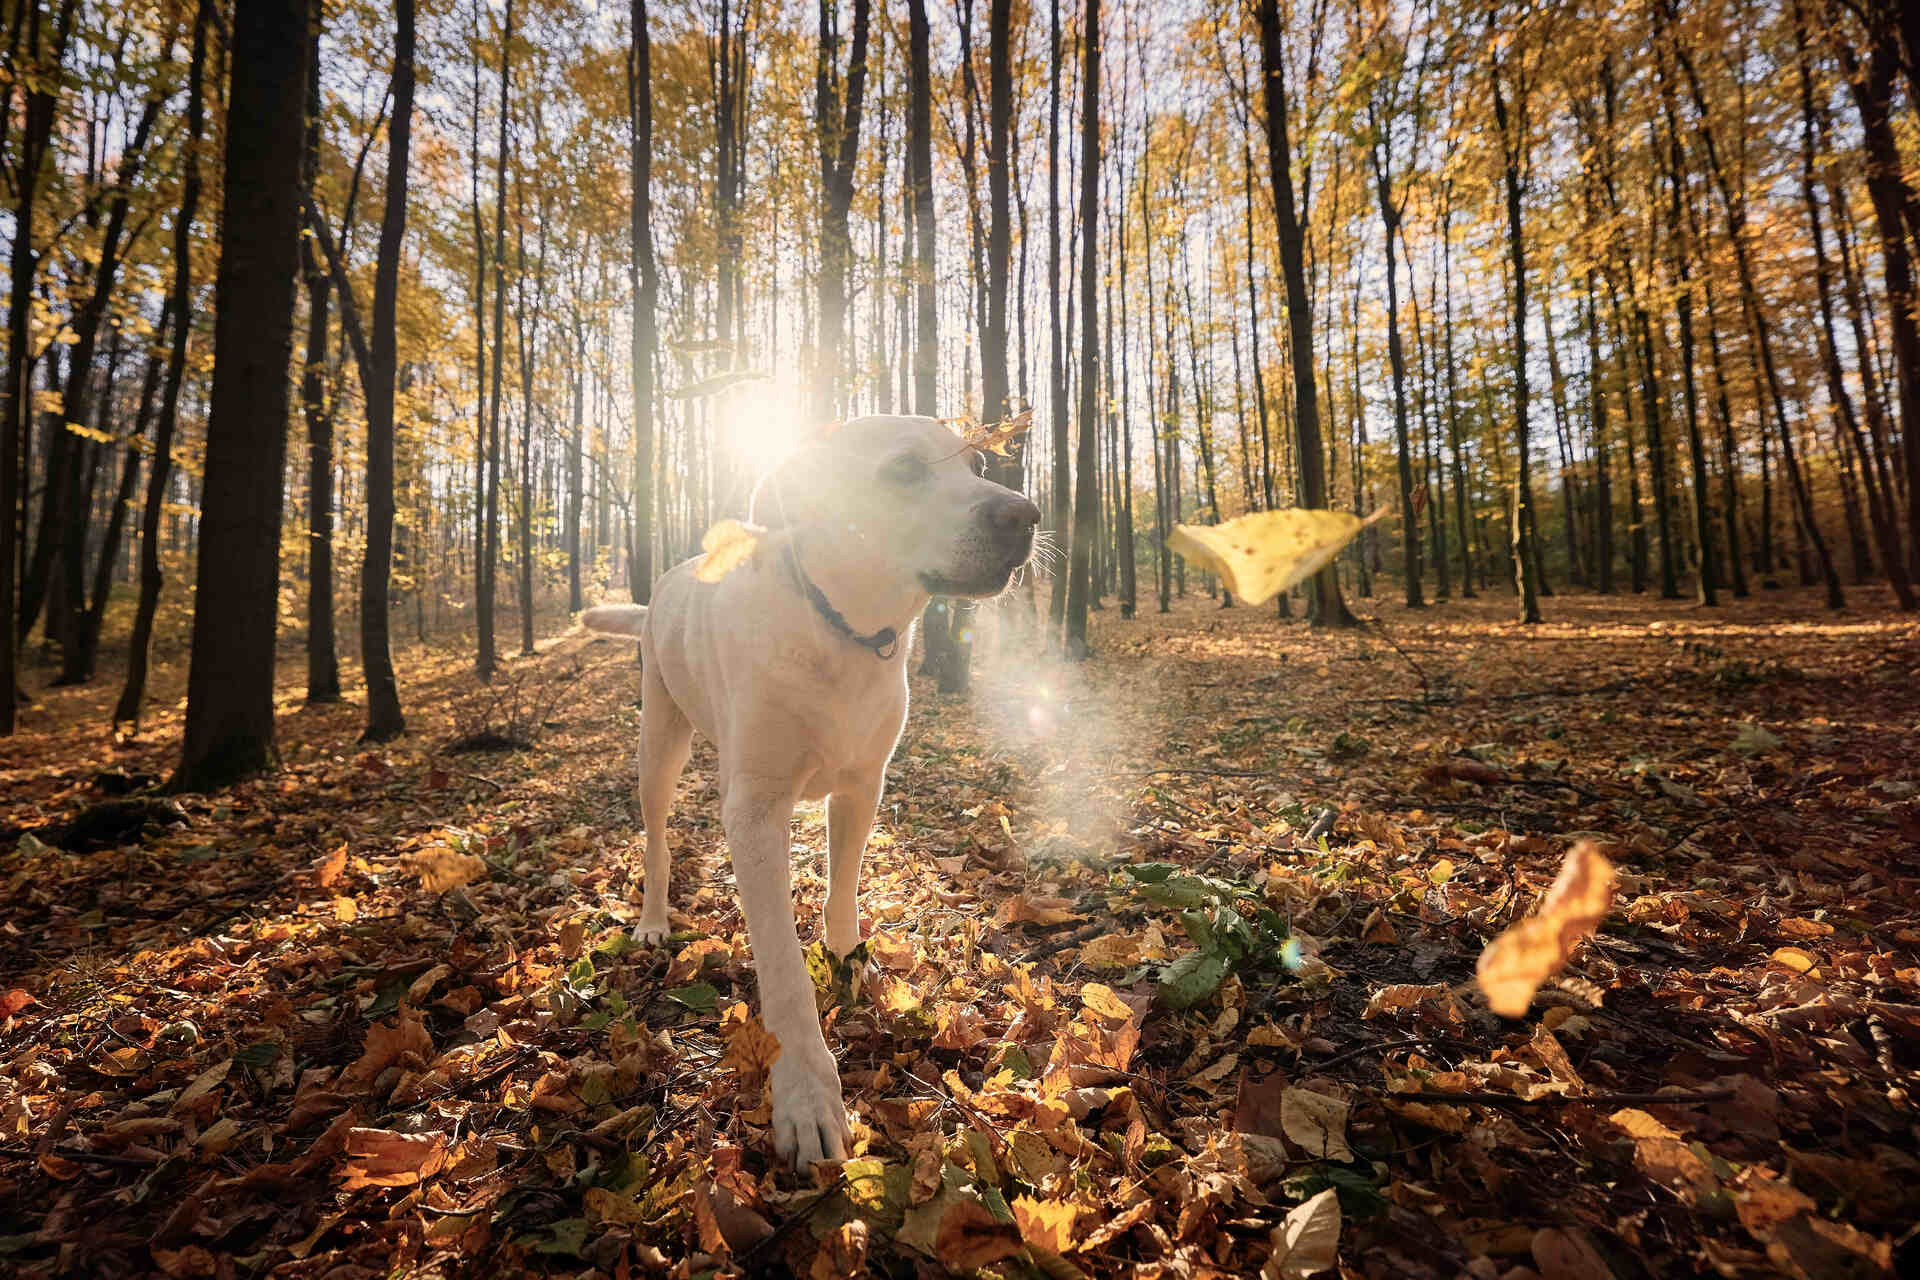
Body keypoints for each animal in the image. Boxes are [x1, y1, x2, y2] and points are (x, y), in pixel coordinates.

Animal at [579, 416, 1036, 1166]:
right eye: (904, 469)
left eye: (976, 465)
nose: (1025, 515)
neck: (839, 632)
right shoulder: (756, 812)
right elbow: (785, 974)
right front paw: (807, 1095)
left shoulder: (861, 786)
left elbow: (842, 887)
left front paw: (849, 960)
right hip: (660, 744)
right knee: (656, 841)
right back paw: (652, 920)